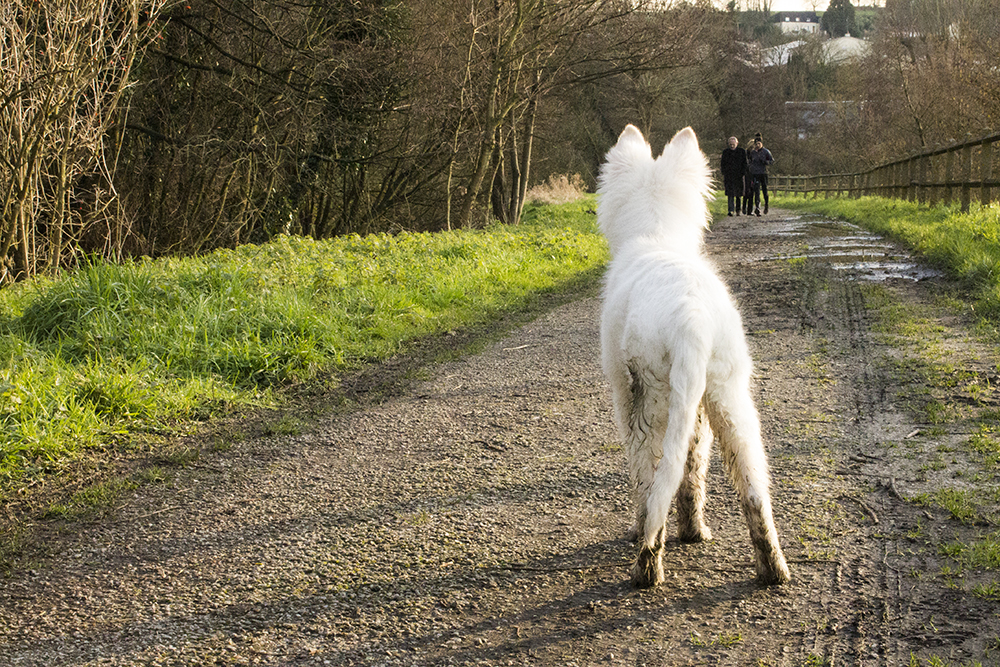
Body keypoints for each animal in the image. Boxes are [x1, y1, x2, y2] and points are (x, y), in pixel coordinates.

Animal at [600, 126, 788, 588]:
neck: (656, 233)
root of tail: (692, 319)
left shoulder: (622, 394)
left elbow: (655, 477)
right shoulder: (699, 407)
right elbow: (693, 470)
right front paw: (694, 531)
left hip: (653, 400)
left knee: (651, 481)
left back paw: (647, 561)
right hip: (728, 398)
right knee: (752, 490)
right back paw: (772, 568)